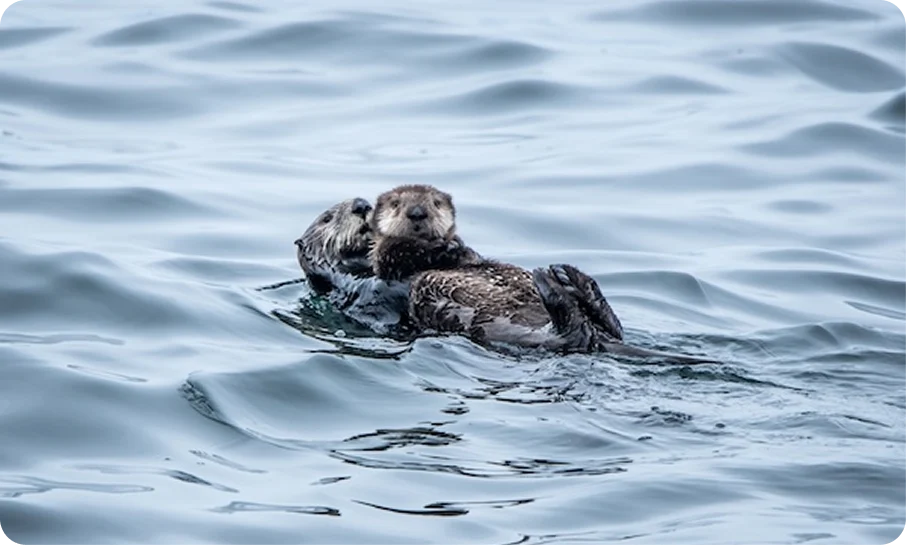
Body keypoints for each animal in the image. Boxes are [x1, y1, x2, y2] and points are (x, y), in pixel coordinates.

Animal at [369, 184, 717, 363]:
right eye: (396, 203)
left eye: (436, 202)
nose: (417, 213)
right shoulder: (390, 263)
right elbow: (398, 252)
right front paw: (441, 247)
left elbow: (468, 253)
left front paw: (454, 245)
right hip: (503, 329)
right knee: (570, 336)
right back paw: (555, 285)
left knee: (610, 328)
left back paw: (572, 279)